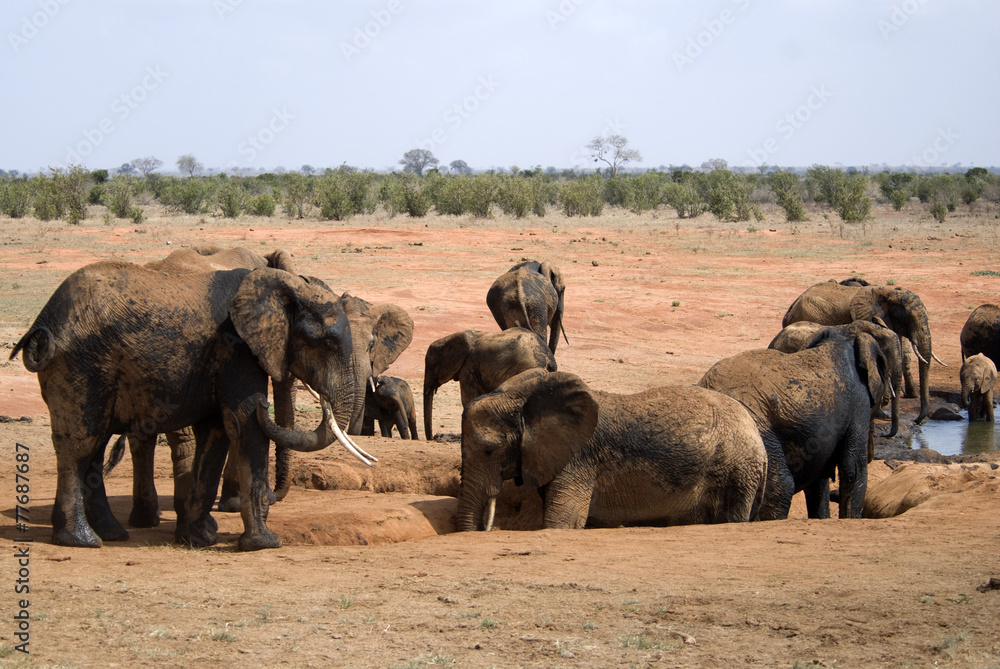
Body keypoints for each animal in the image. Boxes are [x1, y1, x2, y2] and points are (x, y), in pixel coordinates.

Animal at [10, 261, 368, 550]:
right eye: (327, 343)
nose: (266, 406)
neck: (279, 285)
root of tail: (42, 321)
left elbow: (217, 432)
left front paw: (196, 539)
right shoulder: (235, 349)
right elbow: (242, 423)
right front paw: (263, 544)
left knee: (94, 448)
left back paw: (112, 534)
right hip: (82, 365)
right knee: (79, 444)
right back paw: (81, 540)